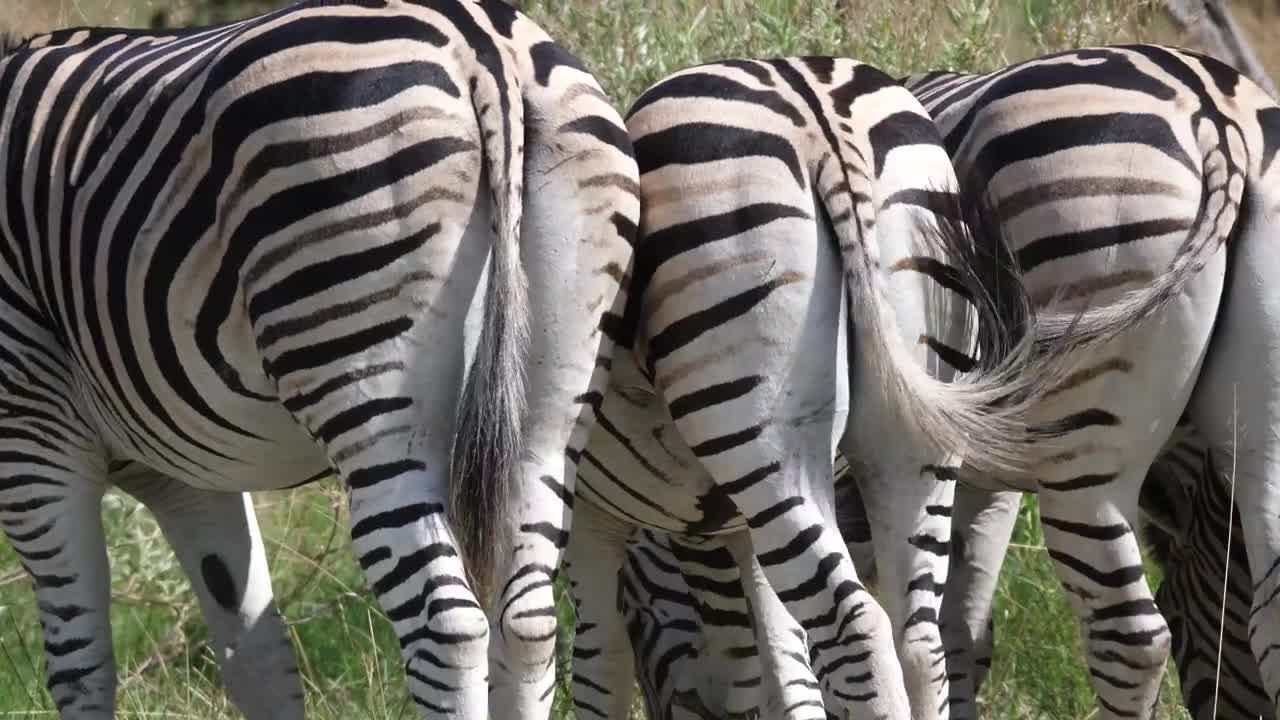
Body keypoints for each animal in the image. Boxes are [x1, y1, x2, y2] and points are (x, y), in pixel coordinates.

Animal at [0, 0, 638, 717]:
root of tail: (481, 43)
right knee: (528, 622)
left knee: (446, 626)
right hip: (554, 401)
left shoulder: (31, 434)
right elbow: (256, 656)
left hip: (368, 385)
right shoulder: (188, 477)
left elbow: (80, 667)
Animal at [610, 43, 1280, 720]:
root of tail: (1214, 115)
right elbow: (961, 632)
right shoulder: (986, 482)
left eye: (636, 622)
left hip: (1081, 423)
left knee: (1128, 635)